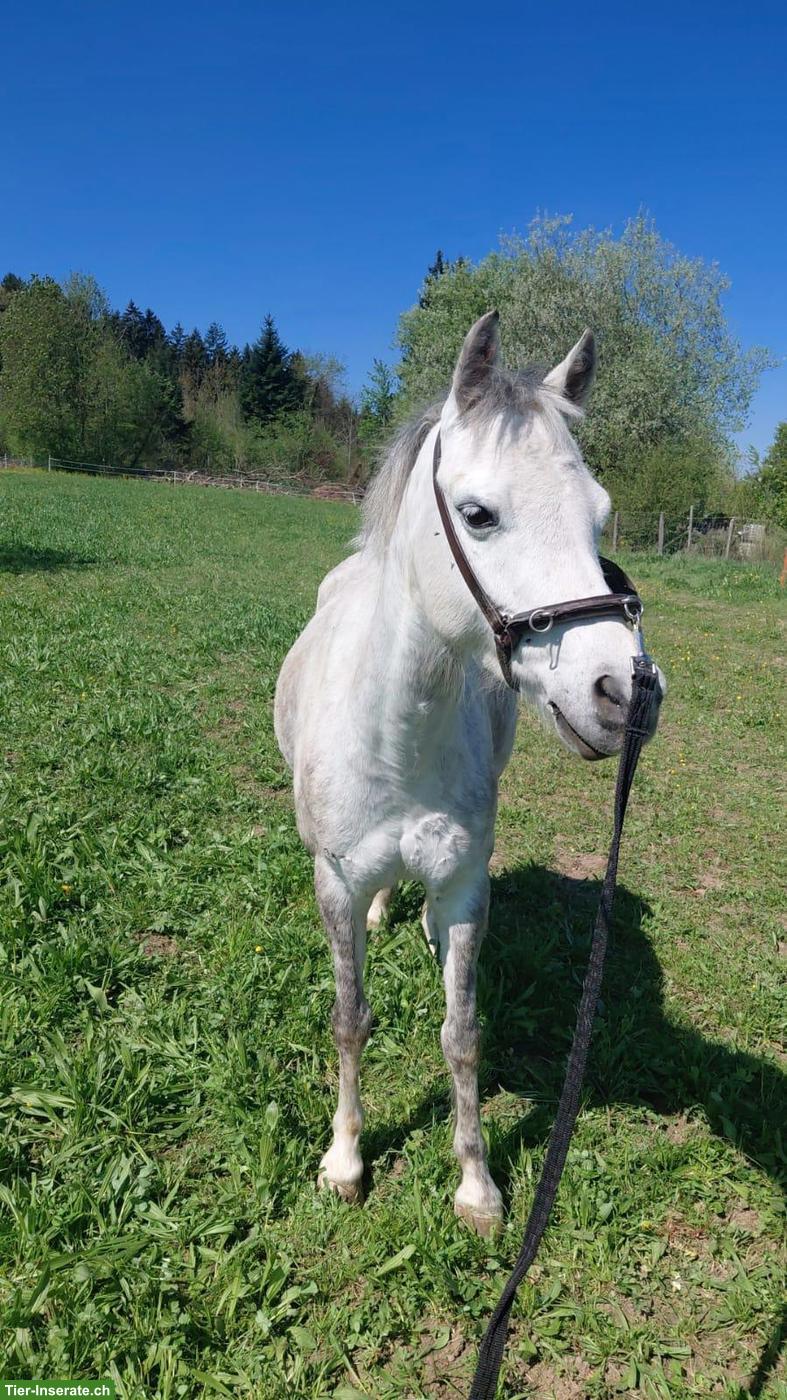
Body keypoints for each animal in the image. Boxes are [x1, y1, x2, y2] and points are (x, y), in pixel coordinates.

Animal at [274, 311, 664, 1235]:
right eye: (478, 514)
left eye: (600, 515)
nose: (623, 692)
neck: (396, 738)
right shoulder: (333, 881)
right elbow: (350, 1019)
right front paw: (344, 1161)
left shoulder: (462, 889)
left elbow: (462, 1035)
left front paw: (477, 1187)